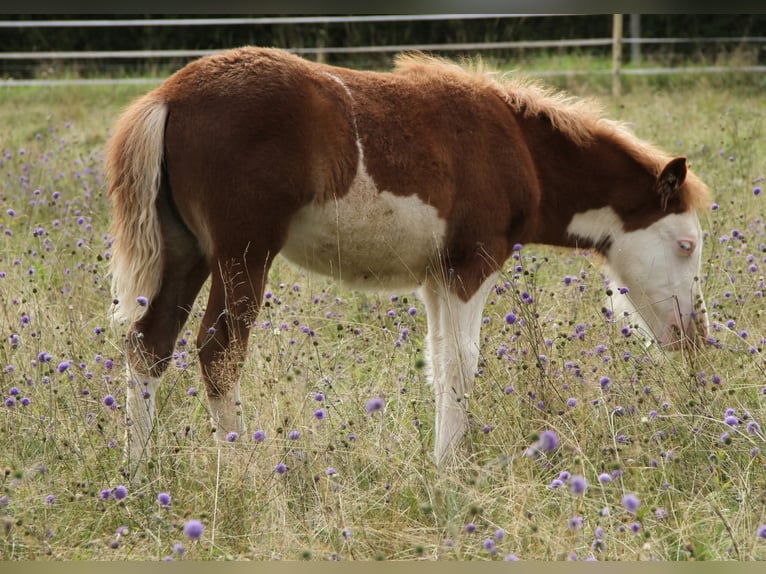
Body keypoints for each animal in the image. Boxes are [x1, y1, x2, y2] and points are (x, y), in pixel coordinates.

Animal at [105, 47, 712, 474]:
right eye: (686, 245)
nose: (695, 337)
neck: (517, 148)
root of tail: (169, 96)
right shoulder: (472, 265)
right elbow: (463, 363)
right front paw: (450, 470)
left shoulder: (436, 277)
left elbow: (439, 364)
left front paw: (443, 462)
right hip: (243, 254)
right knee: (219, 351)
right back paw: (241, 470)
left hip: (187, 253)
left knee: (149, 345)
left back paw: (136, 470)